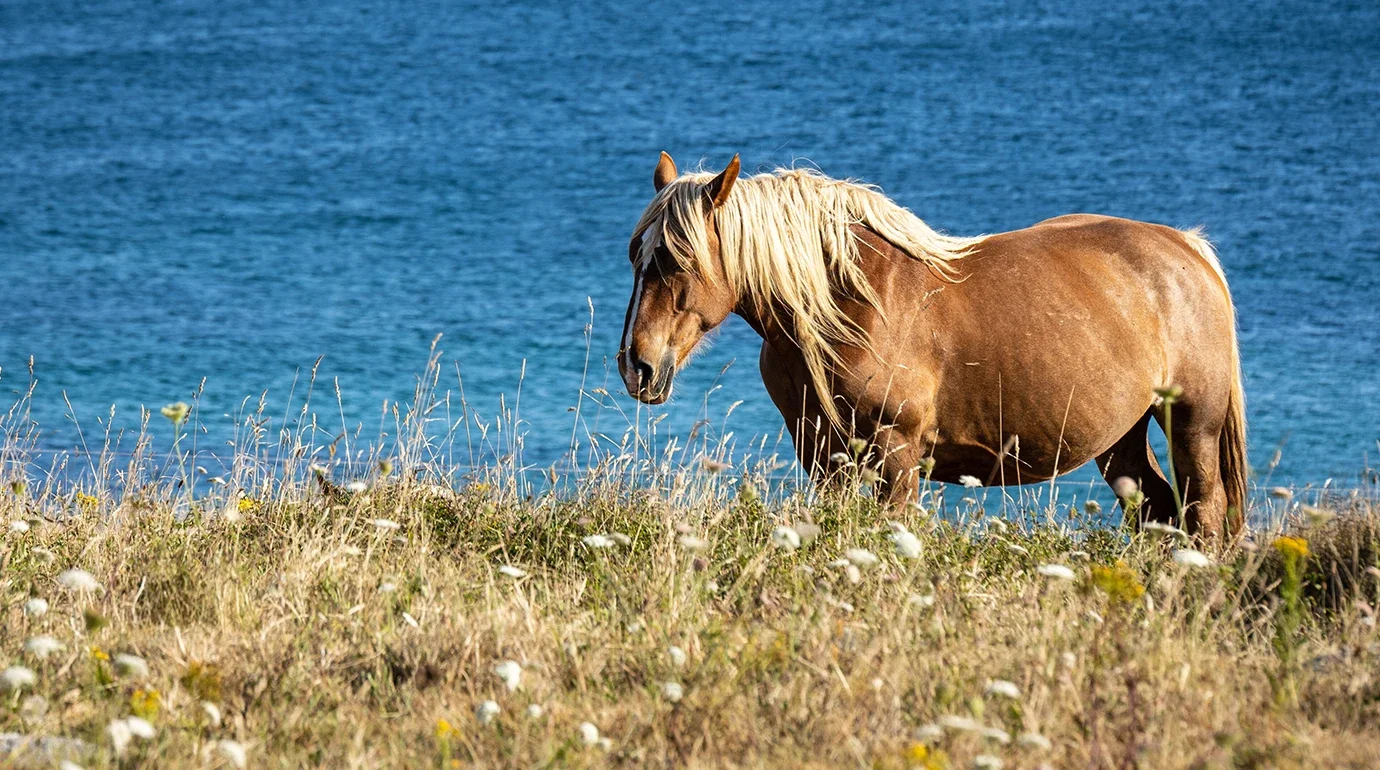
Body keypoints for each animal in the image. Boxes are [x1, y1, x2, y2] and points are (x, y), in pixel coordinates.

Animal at [618, 152, 1246, 538]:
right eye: (635, 257)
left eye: (676, 259)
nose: (637, 367)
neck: (850, 304)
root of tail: (1187, 249)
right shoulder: (822, 456)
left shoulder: (896, 454)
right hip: (1121, 437)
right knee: (1157, 507)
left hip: (1193, 424)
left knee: (1203, 509)